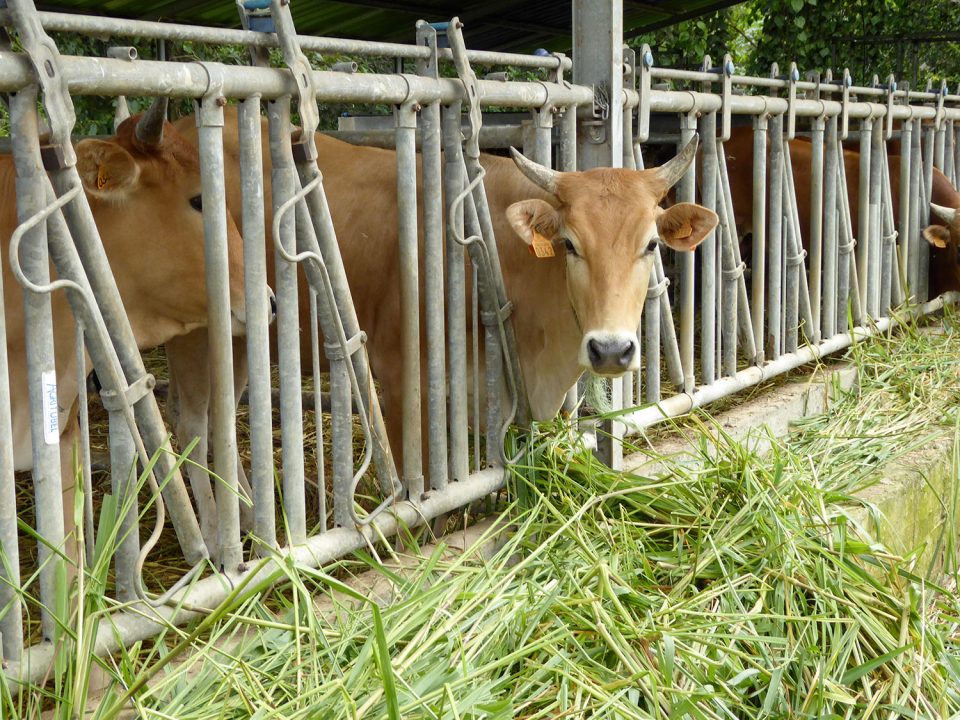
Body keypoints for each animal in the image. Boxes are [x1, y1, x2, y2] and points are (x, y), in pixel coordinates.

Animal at [165, 105, 716, 524]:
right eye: (570, 244)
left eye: (651, 244)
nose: (611, 349)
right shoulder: (401, 383)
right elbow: (422, 495)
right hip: (198, 334)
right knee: (192, 428)